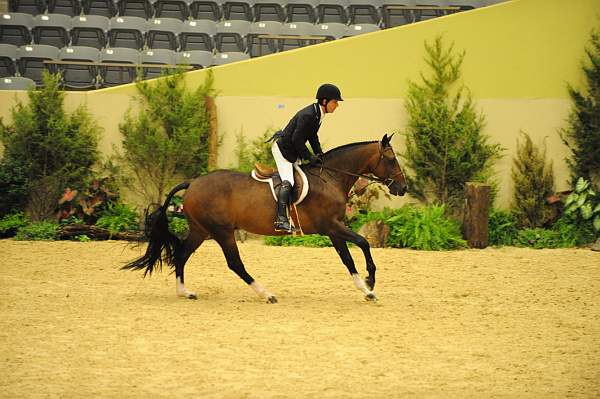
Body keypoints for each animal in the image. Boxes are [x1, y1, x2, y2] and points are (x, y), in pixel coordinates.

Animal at [124, 134, 410, 304]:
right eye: (391, 159)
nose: (403, 187)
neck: (330, 177)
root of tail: (192, 182)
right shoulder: (331, 226)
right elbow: (363, 242)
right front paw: (371, 280)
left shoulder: (333, 230)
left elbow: (347, 259)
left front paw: (366, 289)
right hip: (222, 231)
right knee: (234, 263)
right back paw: (267, 294)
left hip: (200, 230)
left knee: (182, 255)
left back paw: (185, 291)